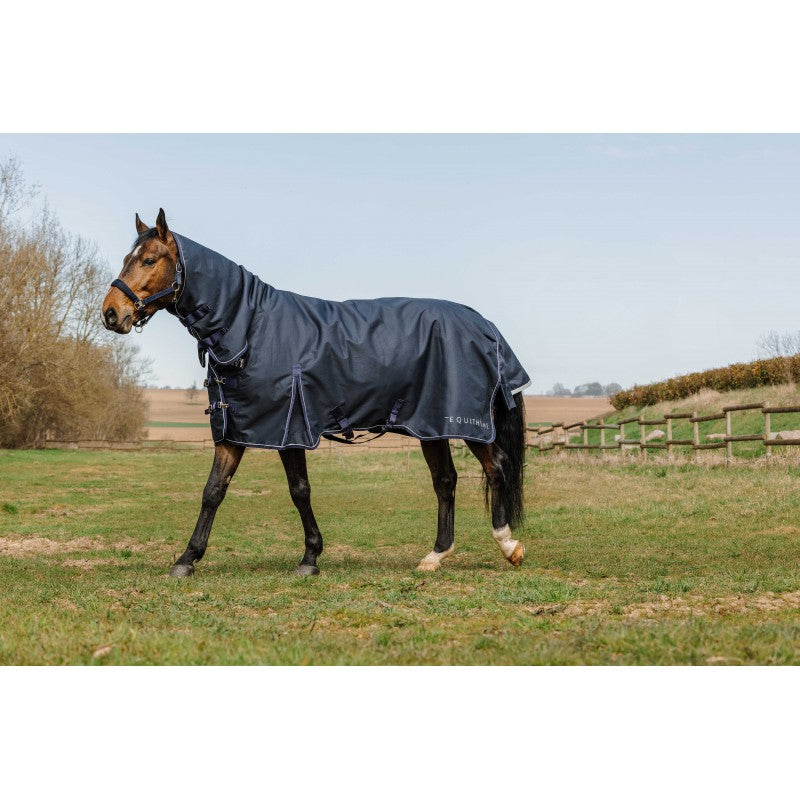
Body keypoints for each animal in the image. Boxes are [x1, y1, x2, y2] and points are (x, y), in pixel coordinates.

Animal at [102, 210, 530, 577]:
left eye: (149, 260)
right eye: (127, 257)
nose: (110, 312)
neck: (251, 327)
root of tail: (484, 324)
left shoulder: (289, 428)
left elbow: (299, 491)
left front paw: (310, 558)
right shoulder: (234, 428)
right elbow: (213, 491)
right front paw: (186, 559)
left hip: (467, 423)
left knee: (497, 467)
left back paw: (508, 545)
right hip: (430, 426)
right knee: (445, 481)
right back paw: (435, 556)